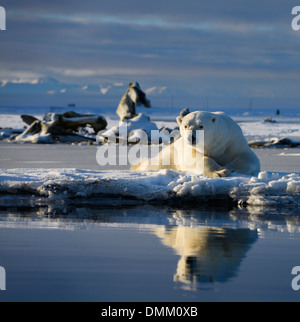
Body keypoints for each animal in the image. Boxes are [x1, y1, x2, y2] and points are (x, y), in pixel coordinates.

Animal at [131, 110, 260, 176]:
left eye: (201, 126)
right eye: (185, 125)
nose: (191, 138)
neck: (214, 144)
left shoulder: (232, 139)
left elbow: (248, 156)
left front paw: (230, 167)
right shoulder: (189, 149)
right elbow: (196, 158)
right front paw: (220, 171)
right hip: (169, 157)